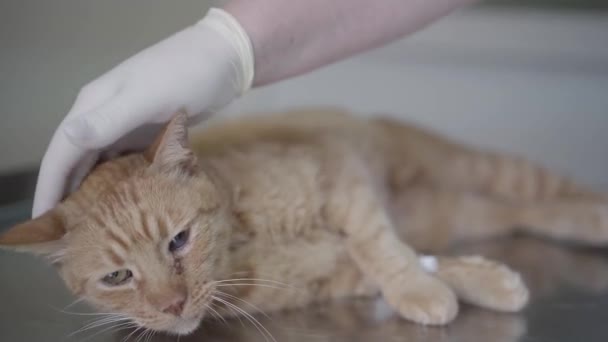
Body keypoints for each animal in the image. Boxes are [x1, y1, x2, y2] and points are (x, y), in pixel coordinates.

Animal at [0, 109, 604, 336]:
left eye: (179, 240)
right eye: (118, 278)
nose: (172, 306)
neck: (247, 243)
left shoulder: (343, 180)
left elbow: (382, 246)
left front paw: (422, 289)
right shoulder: (330, 279)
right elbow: (407, 261)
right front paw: (478, 282)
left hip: (480, 170)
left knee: (545, 193)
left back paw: (594, 213)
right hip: (453, 211)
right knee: (514, 213)